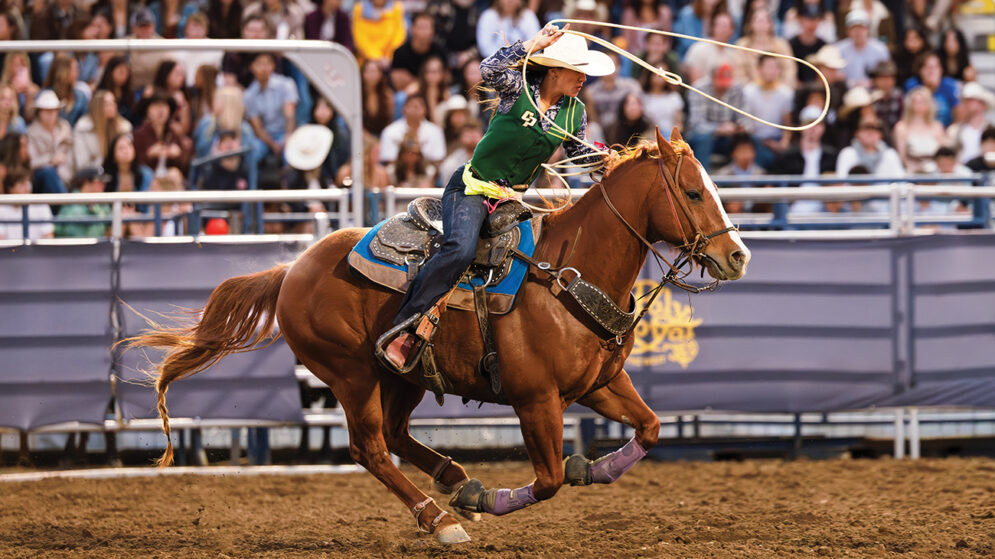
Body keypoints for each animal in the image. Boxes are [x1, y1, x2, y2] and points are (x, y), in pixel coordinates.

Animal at [127, 127, 750, 544]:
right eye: (693, 193)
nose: (737, 256)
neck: (566, 275)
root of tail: (292, 270)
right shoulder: (536, 400)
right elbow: (548, 480)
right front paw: (497, 498)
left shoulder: (599, 385)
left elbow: (649, 428)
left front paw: (589, 468)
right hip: (350, 374)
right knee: (371, 448)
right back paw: (443, 517)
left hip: (401, 375)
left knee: (397, 435)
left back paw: (457, 482)